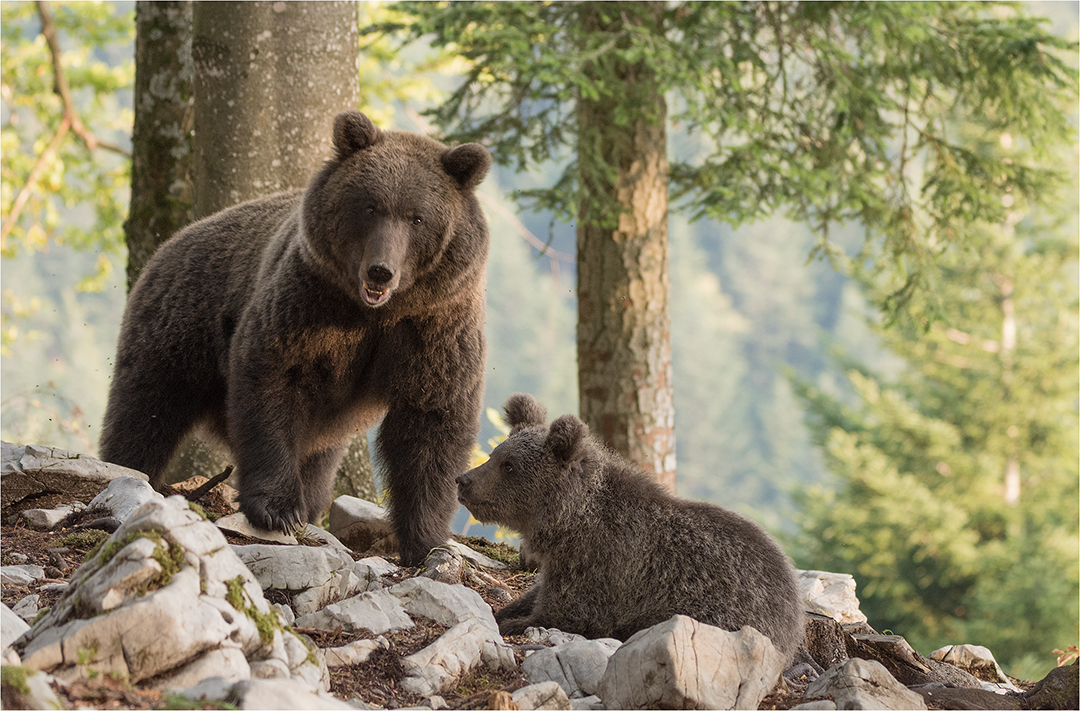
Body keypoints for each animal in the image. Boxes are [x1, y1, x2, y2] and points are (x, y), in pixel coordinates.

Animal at [101, 112, 490, 566]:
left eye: (417, 217)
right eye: (370, 206)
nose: (380, 270)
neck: (376, 313)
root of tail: (173, 240)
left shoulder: (433, 330)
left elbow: (432, 422)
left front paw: (428, 540)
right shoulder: (307, 306)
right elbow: (273, 380)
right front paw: (278, 509)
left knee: (320, 456)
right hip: (179, 326)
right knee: (146, 409)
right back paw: (128, 466)